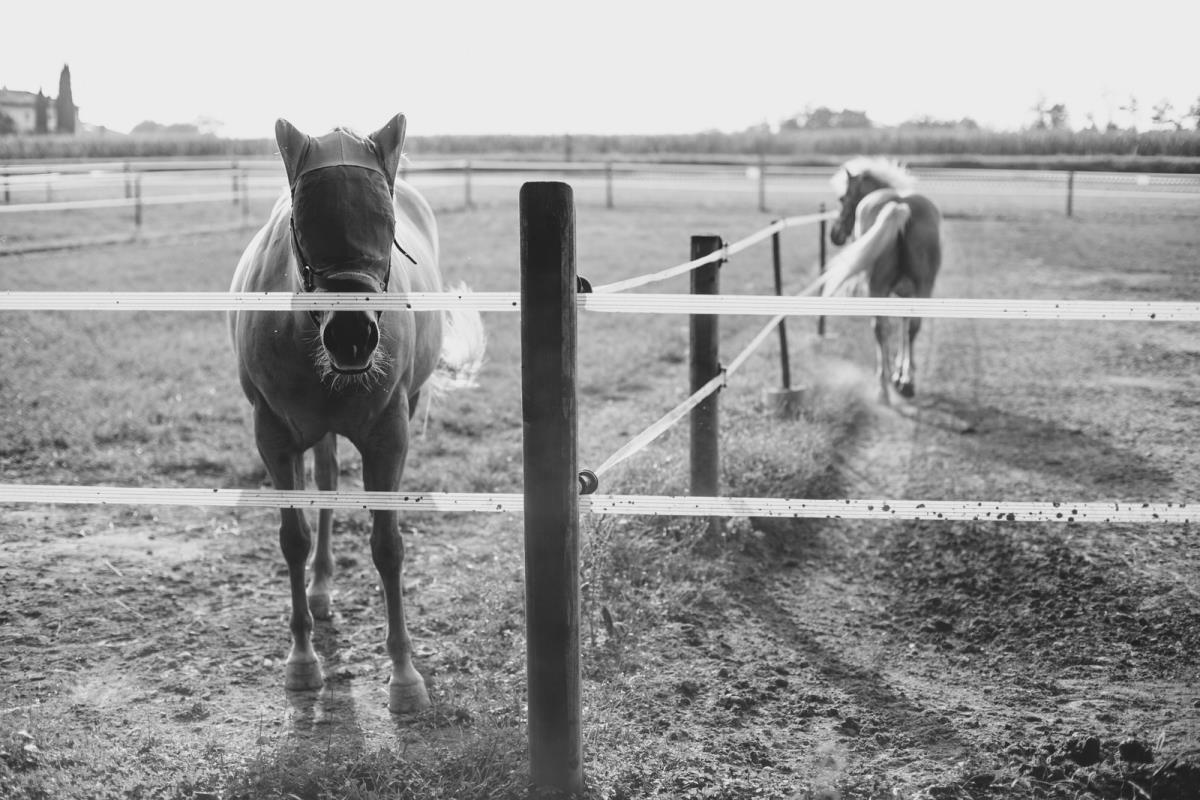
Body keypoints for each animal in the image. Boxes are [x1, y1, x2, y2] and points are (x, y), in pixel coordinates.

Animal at [229, 112, 482, 714]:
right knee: (323, 484)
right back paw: (320, 590)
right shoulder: (274, 437)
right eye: (301, 224)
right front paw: (302, 661)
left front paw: (405, 676)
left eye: (387, 225)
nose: (351, 335)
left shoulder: (388, 438)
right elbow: (293, 539)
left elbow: (387, 548)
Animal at [820, 155, 940, 402]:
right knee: (912, 326)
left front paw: (896, 372)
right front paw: (902, 372)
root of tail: (900, 205)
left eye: (842, 198)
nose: (835, 235)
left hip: (877, 286)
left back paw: (882, 386)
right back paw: (906, 383)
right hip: (924, 287)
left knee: (880, 327)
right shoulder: (909, 293)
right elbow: (905, 325)